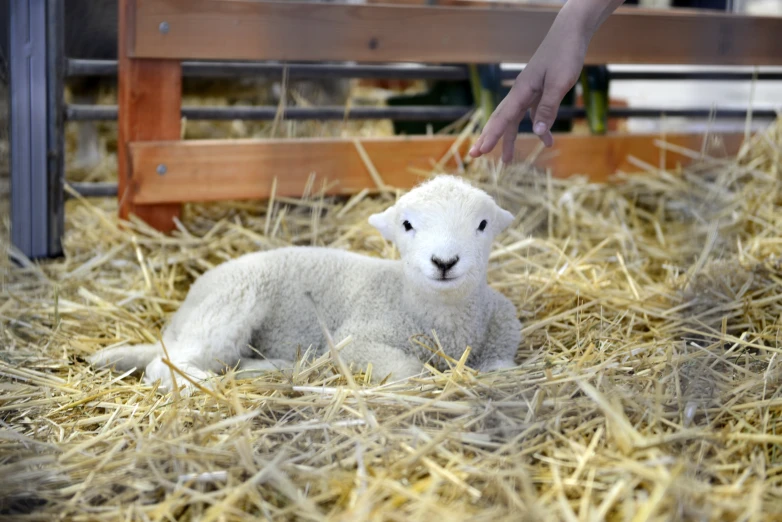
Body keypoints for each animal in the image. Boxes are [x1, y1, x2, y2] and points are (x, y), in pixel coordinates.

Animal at [89, 175, 524, 390]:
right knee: (166, 364)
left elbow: (502, 367)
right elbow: (409, 371)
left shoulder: (503, 329)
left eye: (482, 224)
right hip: (232, 302)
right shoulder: (356, 338)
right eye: (407, 225)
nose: (444, 261)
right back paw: (203, 382)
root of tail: (179, 318)